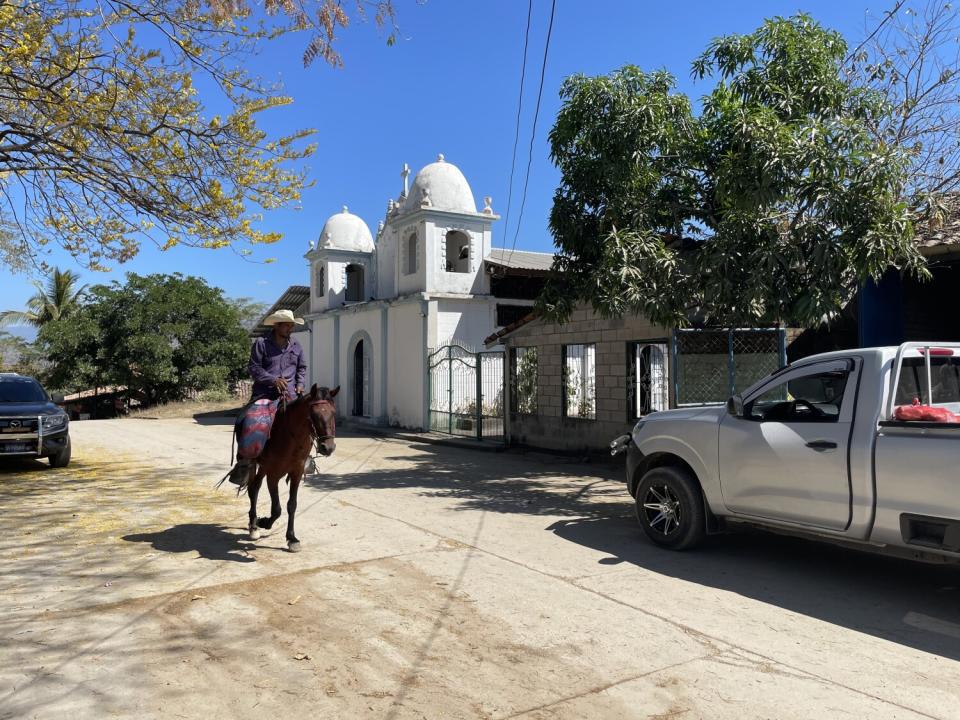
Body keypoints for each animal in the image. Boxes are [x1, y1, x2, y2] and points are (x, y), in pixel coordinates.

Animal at [246, 388, 340, 552]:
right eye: (313, 415)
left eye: (333, 412)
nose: (327, 447)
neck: (291, 437)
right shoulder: (273, 475)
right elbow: (277, 509)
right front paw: (264, 522)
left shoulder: (297, 472)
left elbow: (292, 505)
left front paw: (292, 538)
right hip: (261, 465)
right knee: (253, 488)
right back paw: (253, 526)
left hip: (263, 467)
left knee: (255, 486)